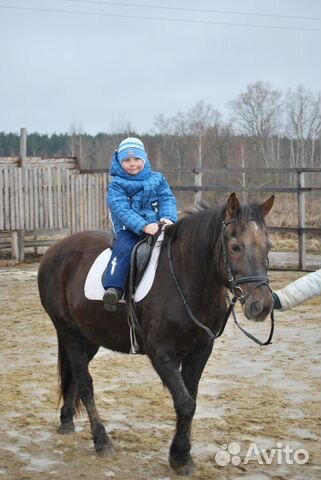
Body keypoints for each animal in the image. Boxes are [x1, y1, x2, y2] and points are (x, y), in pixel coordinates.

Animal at [37, 192, 272, 476]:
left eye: (268, 246)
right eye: (235, 247)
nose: (262, 305)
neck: (185, 279)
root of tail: (54, 250)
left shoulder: (199, 352)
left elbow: (191, 400)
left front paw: (182, 455)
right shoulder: (162, 355)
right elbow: (185, 403)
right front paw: (180, 457)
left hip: (88, 337)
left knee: (74, 374)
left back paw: (66, 420)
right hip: (68, 330)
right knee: (84, 382)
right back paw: (102, 441)